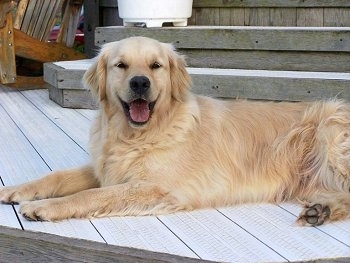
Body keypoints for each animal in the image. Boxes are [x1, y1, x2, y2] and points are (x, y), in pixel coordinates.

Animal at [0, 37, 350, 227]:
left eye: (155, 66)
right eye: (121, 65)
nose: (140, 83)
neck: (138, 134)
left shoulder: (158, 187)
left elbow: (92, 195)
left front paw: (44, 207)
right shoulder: (108, 168)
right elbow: (57, 176)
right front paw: (15, 190)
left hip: (330, 130)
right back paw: (321, 209)